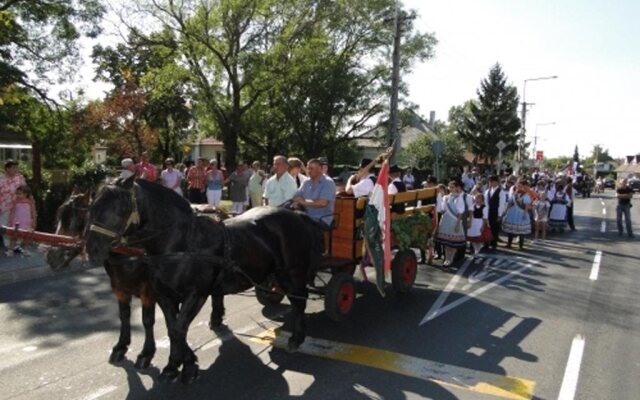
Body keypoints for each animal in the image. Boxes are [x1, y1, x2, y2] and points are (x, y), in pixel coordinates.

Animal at [84, 178, 322, 384]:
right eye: (92, 206)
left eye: (121, 208)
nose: (91, 249)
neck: (181, 244)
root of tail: (296, 214)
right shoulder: (163, 295)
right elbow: (173, 328)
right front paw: (179, 364)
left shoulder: (195, 295)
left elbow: (179, 329)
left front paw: (181, 366)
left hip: (292, 272)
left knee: (299, 301)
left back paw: (297, 338)